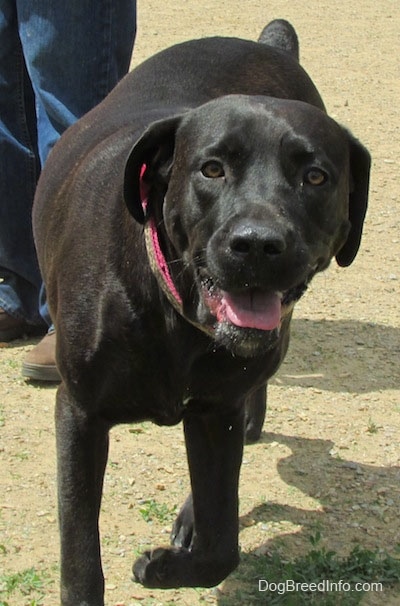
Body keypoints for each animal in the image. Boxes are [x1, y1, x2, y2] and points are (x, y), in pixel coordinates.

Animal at [32, 20, 370, 606]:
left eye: (316, 177)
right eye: (211, 169)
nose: (257, 244)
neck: (176, 318)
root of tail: (268, 44)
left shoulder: (215, 413)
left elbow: (221, 549)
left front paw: (163, 568)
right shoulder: (79, 416)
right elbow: (80, 557)